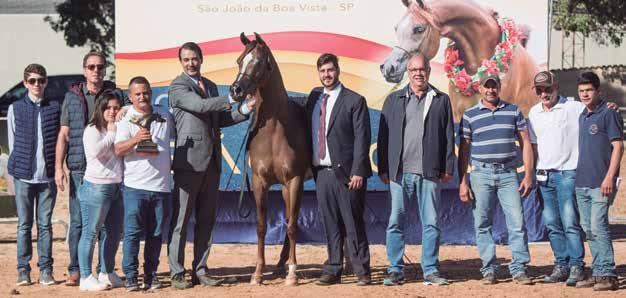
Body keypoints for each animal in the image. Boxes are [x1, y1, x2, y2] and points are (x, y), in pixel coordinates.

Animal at [229, 31, 310, 286]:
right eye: (239, 60)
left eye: (257, 61)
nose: (235, 90)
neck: (274, 130)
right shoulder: (260, 182)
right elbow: (262, 226)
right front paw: (257, 273)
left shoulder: (294, 180)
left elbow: (292, 227)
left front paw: (293, 274)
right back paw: (279, 265)